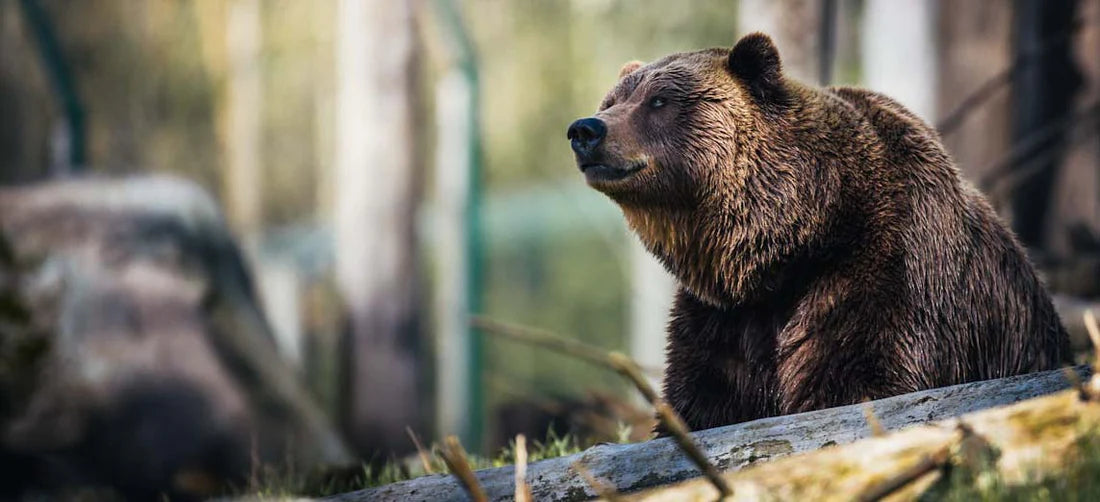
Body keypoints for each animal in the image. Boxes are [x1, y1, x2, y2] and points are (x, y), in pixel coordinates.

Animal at [566, 32, 1071, 432]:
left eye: (659, 101)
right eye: (611, 101)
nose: (585, 129)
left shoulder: (884, 273)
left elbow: (860, 378)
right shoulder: (723, 319)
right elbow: (703, 400)